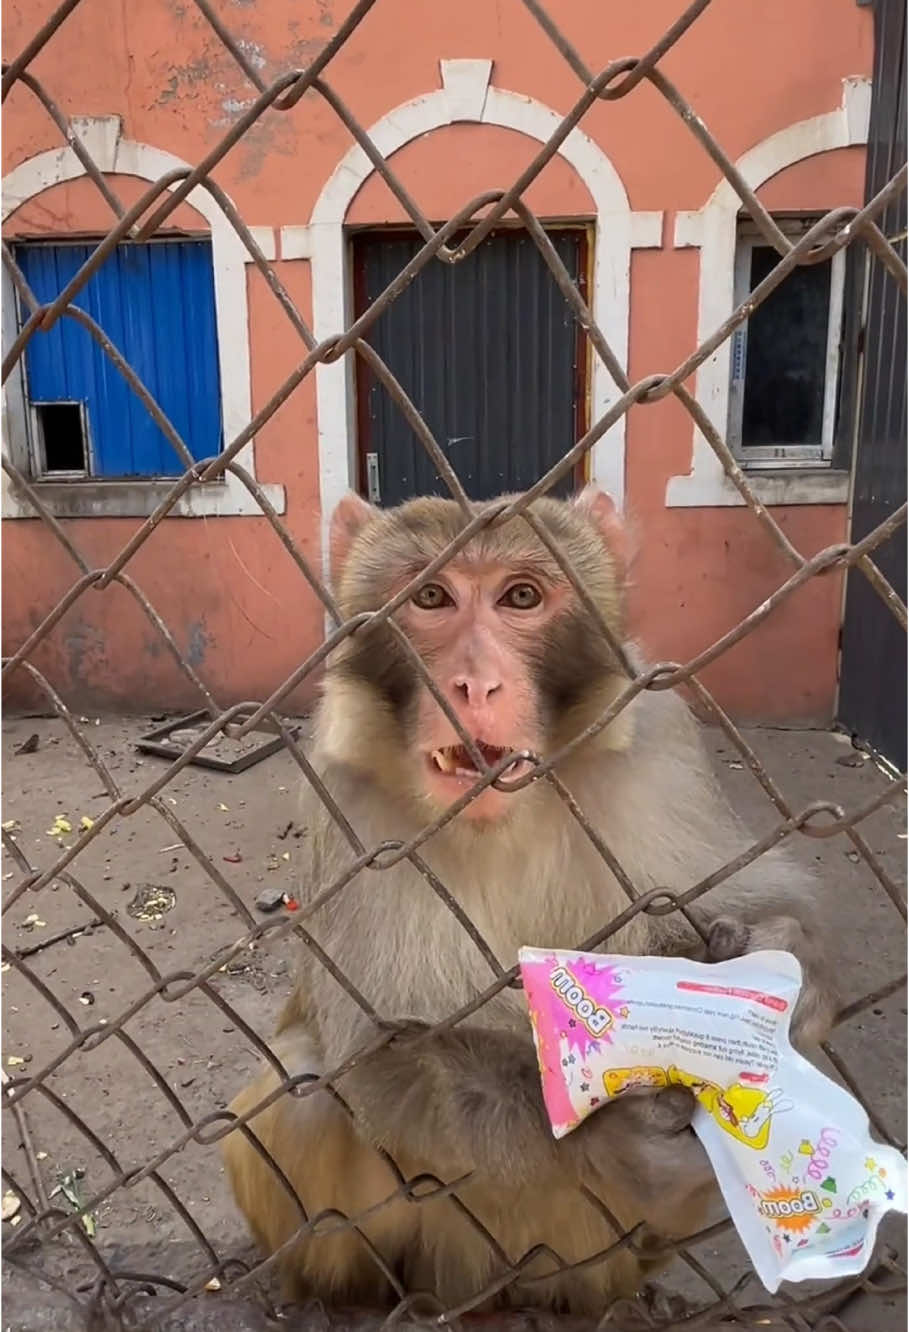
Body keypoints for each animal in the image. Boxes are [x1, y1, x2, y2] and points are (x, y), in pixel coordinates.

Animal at [221, 486, 838, 1316]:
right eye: (430, 598)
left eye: (521, 597)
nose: (473, 685)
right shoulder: (345, 800)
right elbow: (371, 1051)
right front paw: (613, 1136)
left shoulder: (661, 746)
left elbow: (769, 896)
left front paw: (784, 967)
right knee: (304, 1091)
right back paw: (341, 1296)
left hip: (586, 1256)